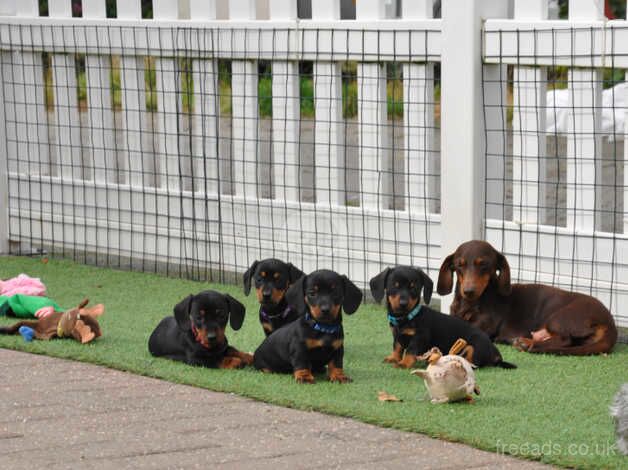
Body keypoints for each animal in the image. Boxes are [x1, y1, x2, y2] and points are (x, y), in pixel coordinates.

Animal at [368, 266, 516, 370]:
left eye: (413, 288)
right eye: (394, 286)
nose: (403, 303)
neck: (406, 318)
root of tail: (496, 355)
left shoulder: (419, 337)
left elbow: (410, 351)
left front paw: (404, 363)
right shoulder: (396, 335)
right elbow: (397, 347)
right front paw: (393, 358)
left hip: (474, 346)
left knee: (475, 363)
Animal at [436, 241, 620, 354]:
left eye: (484, 265)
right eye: (459, 265)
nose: (468, 291)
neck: (472, 303)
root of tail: (610, 323)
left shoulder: (483, 325)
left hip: (559, 318)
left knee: (565, 340)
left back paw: (527, 343)